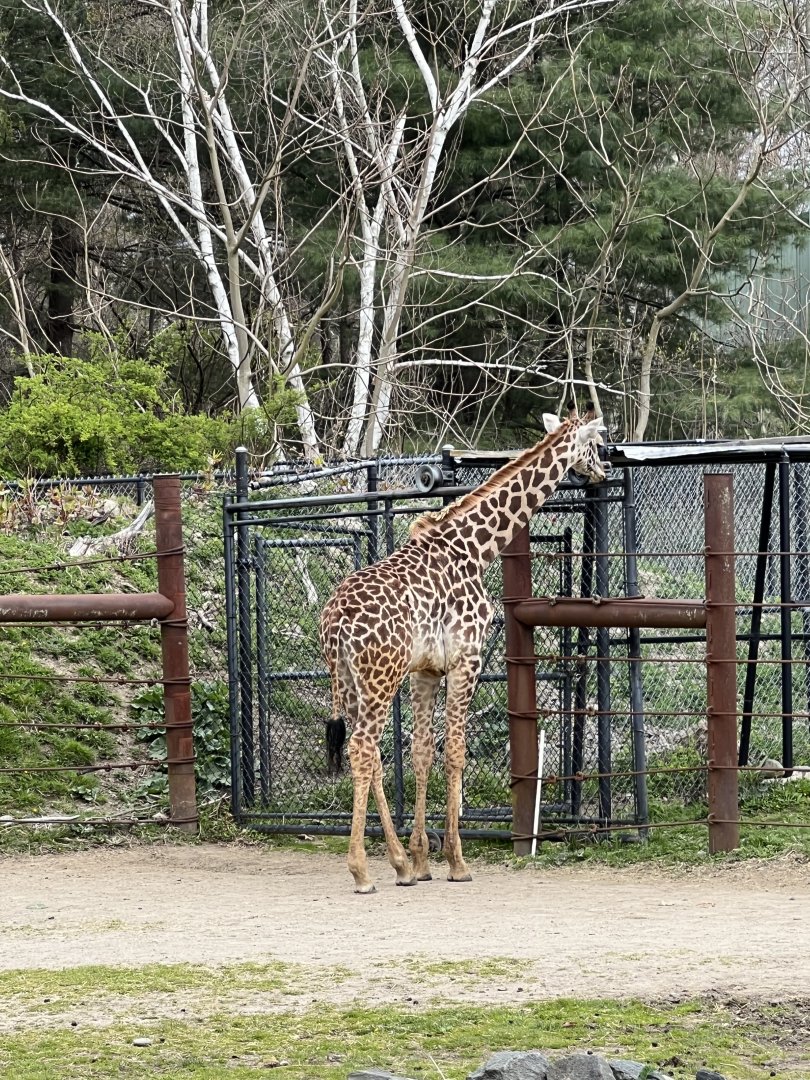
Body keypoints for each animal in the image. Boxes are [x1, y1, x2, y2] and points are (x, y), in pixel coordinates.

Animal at [319, 403, 608, 893]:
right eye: (598, 443)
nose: (603, 473)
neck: (474, 549)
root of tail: (334, 620)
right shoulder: (465, 659)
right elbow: (455, 751)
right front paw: (456, 860)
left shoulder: (425, 671)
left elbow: (422, 752)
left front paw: (420, 860)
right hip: (380, 678)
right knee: (362, 749)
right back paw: (361, 871)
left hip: (353, 681)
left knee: (372, 755)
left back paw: (397, 862)